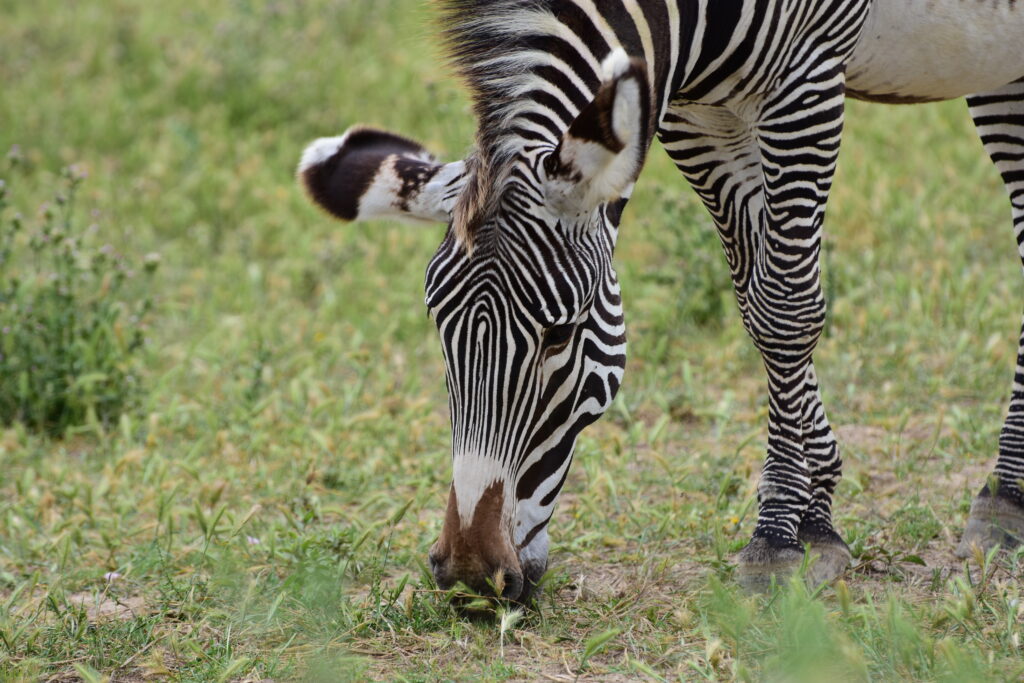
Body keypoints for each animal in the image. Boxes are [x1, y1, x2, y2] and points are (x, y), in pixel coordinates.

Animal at [299, 1, 1024, 598]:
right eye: (438, 330)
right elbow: (754, 298)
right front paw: (817, 512)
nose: (470, 577)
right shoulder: (690, 109)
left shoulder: (806, 76)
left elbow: (786, 307)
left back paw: (1006, 497)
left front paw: (776, 537)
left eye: (559, 335)